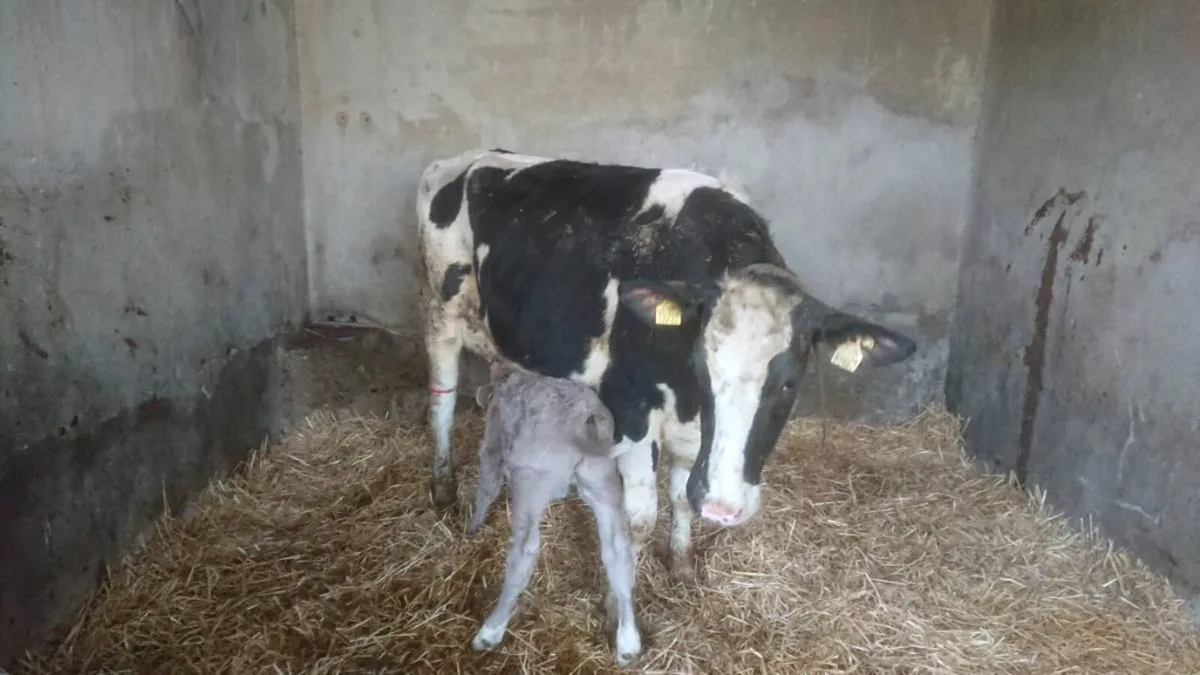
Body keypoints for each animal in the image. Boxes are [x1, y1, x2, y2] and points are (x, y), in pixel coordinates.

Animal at [416, 148, 917, 597]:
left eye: (789, 381)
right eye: (702, 367)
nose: (723, 508)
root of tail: (465, 158)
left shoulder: (694, 430)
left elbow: (680, 497)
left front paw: (681, 564)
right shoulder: (632, 407)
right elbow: (640, 518)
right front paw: (615, 603)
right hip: (441, 315)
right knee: (442, 402)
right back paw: (445, 490)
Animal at [467, 361, 641, 666]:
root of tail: (585, 417)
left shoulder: (492, 441)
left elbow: (486, 484)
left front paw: (472, 527)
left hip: (530, 480)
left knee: (525, 550)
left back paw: (490, 630)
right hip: (602, 479)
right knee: (618, 551)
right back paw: (628, 642)